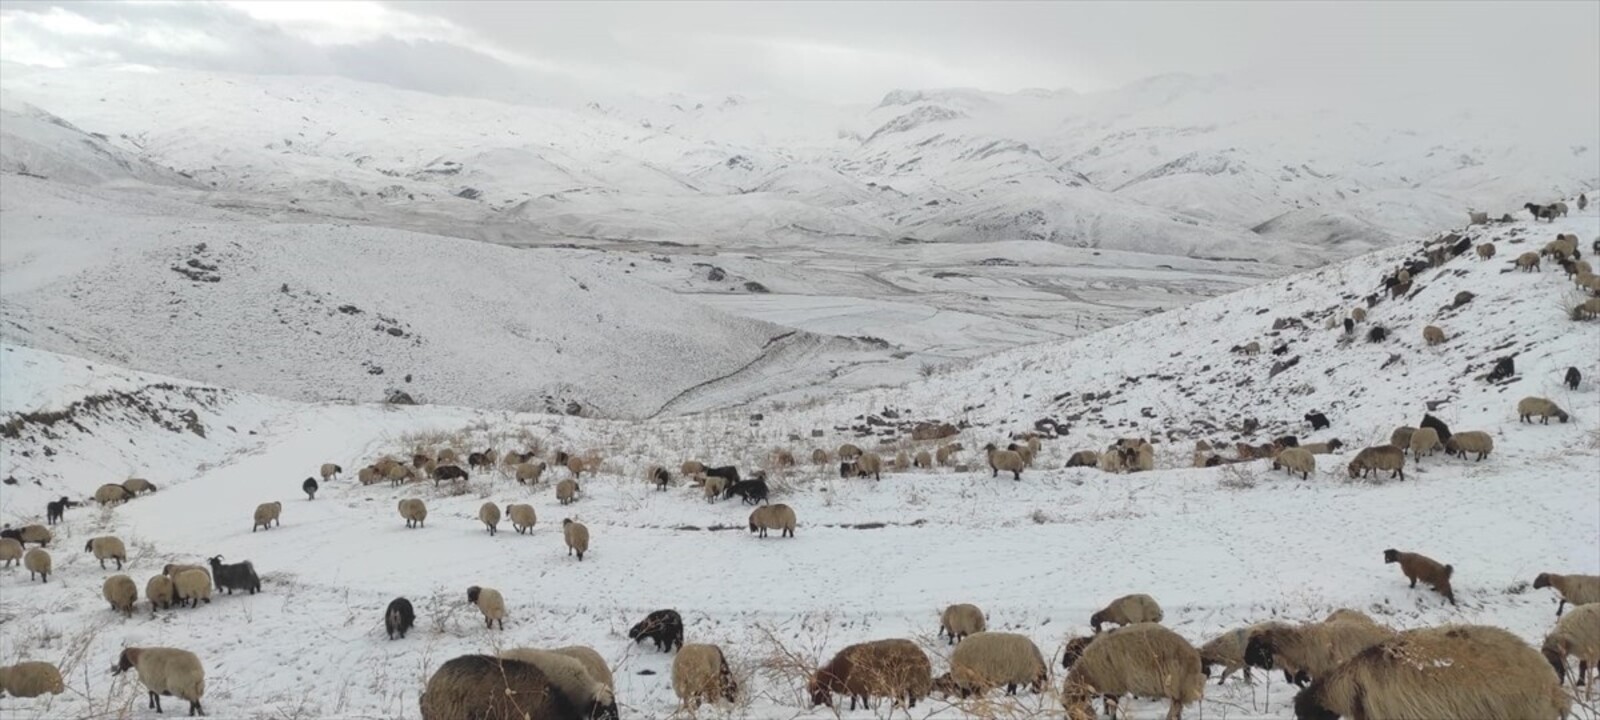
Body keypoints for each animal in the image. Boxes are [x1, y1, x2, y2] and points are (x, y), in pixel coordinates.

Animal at [806, 640, 934, 710]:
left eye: (817, 690)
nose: (814, 705)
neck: (836, 673)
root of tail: (924, 657)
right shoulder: (856, 688)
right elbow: (857, 699)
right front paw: (856, 709)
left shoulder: (859, 686)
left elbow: (861, 700)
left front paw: (861, 709)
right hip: (902, 685)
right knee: (903, 698)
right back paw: (896, 707)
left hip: (912, 682)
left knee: (911, 699)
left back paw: (908, 708)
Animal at [1062, 624, 1203, 720]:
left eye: (1072, 708)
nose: (1063, 664)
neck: (1088, 671)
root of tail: (1194, 656)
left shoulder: (1114, 685)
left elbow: (1112, 706)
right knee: (1177, 707)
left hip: (1175, 684)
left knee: (1176, 706)